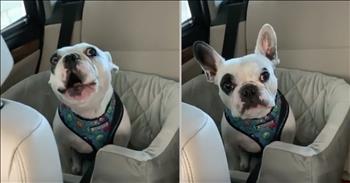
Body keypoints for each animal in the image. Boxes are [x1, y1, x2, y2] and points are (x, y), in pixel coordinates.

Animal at [49, 42, 131, 174]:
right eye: (54, 59)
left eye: (91, 51)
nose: (70, 57)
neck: (88, 110)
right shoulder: (62, 147)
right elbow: (65, 165)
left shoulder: (120, 142)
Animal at [193, 23, 296, 171]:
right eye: (227, 85)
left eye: (265, 75)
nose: (248, 90)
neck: (257, 121)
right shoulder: (230, 146)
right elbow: (233, 163)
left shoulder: (287, 138)